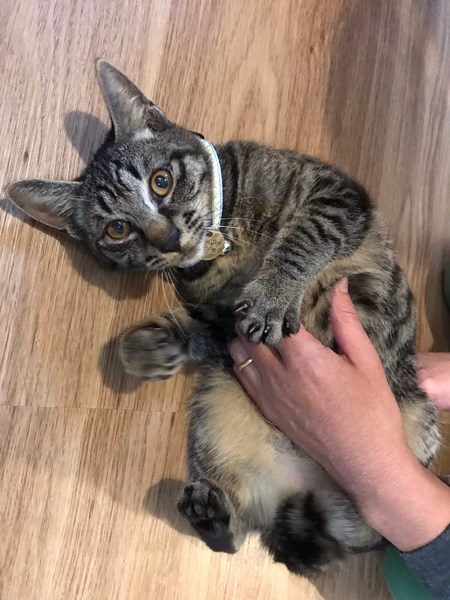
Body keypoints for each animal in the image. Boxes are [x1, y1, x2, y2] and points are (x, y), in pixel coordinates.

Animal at [7, 61, 440, 576]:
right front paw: (150, 347)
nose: (168, 238)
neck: (224, 247)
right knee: (250, 534)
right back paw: (212, 515)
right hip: (216, 419)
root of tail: (300, 488)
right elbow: (206, 329)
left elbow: (304, 238)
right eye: (118, 229)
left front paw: (272, 296)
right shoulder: (219, 324)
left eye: (160, 180)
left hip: (414, 423)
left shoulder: (336, 194)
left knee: (370, 532)